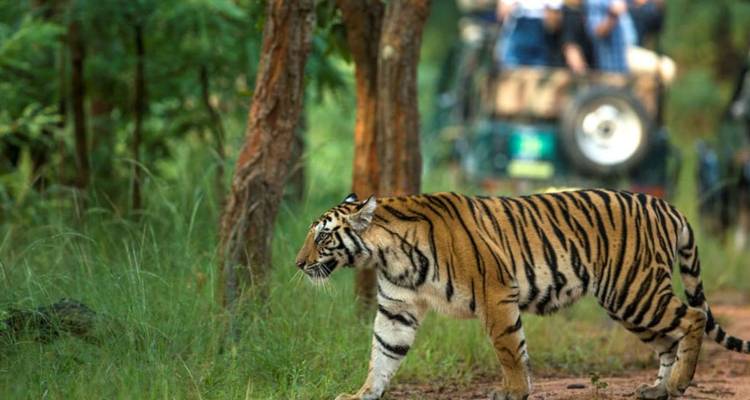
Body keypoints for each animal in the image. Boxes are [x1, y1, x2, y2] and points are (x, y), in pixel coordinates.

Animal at [294, 190, 750, 400]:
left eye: (323, 237)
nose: (297, 264)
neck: (387, 255)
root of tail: (665, 205)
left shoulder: (495, 293)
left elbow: (508, 348)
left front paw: (513, 391)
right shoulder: (396, 310)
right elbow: (382, 354)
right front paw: (362, 394)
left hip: (633, 289)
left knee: (692, 318)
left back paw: (679, 383)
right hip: (629, 300)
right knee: (669, 340)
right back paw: (660, 389)